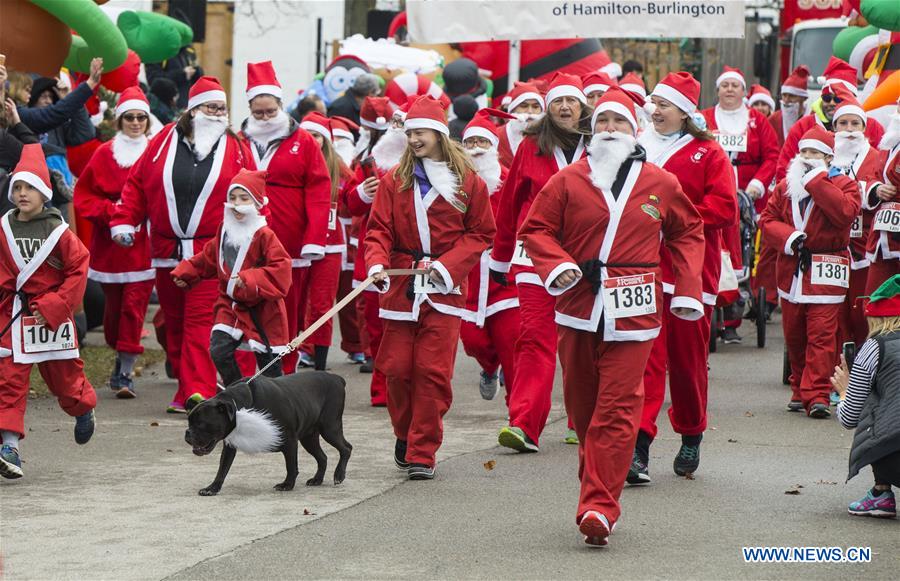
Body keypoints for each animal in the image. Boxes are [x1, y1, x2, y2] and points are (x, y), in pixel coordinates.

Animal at [184, 372, 352, 494]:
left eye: (201, 423)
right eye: (189, 422)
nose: (187, 433)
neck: (241, 407)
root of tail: (337, 378)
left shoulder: (289, 440)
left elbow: (291, 466)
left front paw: (287, 484)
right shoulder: (230, 444)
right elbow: (222, 468)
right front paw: (212, 488)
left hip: (329, 428)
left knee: (346, 448)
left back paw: (339, 475)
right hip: (309, 438)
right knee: (322, 457)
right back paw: (317, 479)